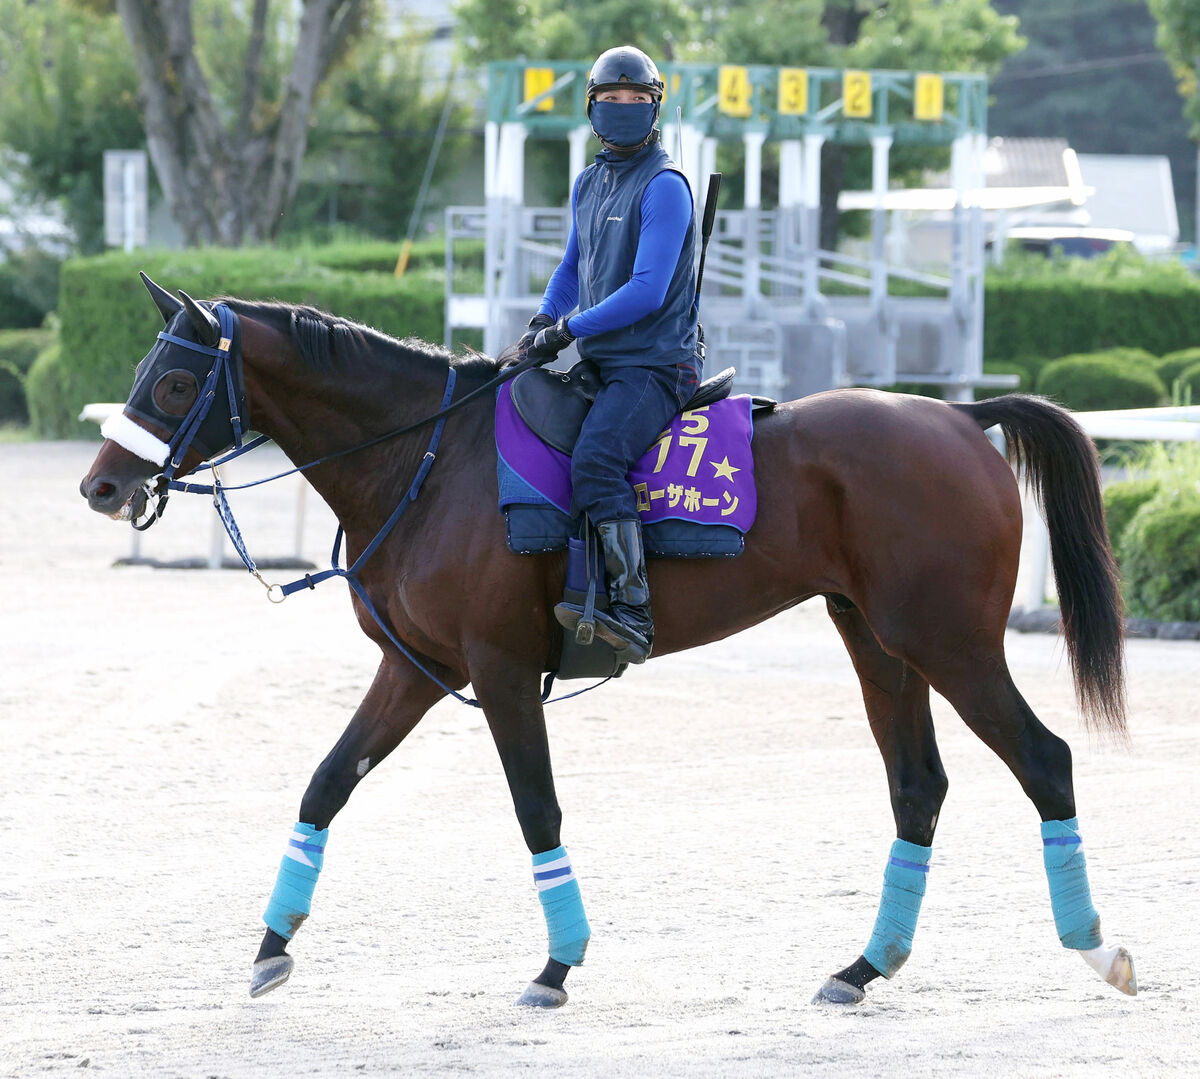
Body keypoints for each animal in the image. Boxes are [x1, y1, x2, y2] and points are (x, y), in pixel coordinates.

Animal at [77, 276, 1132, 1003]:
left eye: (175, 379)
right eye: (140, 373)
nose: (100, 484)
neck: (432, 459)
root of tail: (958, 413)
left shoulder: (501, 671)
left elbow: (535, 809)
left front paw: (557, 962)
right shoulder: (415, 670)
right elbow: (327, 783)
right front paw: (272, 945)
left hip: (950, 643)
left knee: (1047, 760)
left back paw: (1096, 945)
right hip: (879, 643)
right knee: (918, 787)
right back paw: (865, 964)